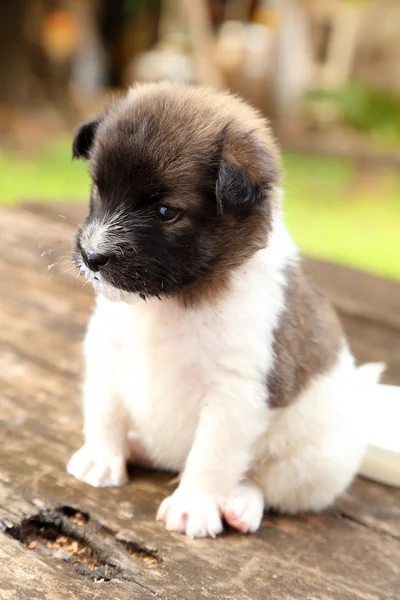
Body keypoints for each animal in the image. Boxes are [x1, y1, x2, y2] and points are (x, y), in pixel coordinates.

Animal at [67, 82, 380, 536]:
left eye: (166, 211)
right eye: (97, 190)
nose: (92, 257)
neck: (177, 299)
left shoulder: (235, 395)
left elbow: (210, 457)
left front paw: (193, 506)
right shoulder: (107, 350)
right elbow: (105, 411)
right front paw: (102, 458)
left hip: (318, 463)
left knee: (263, 482)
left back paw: (241, 504)